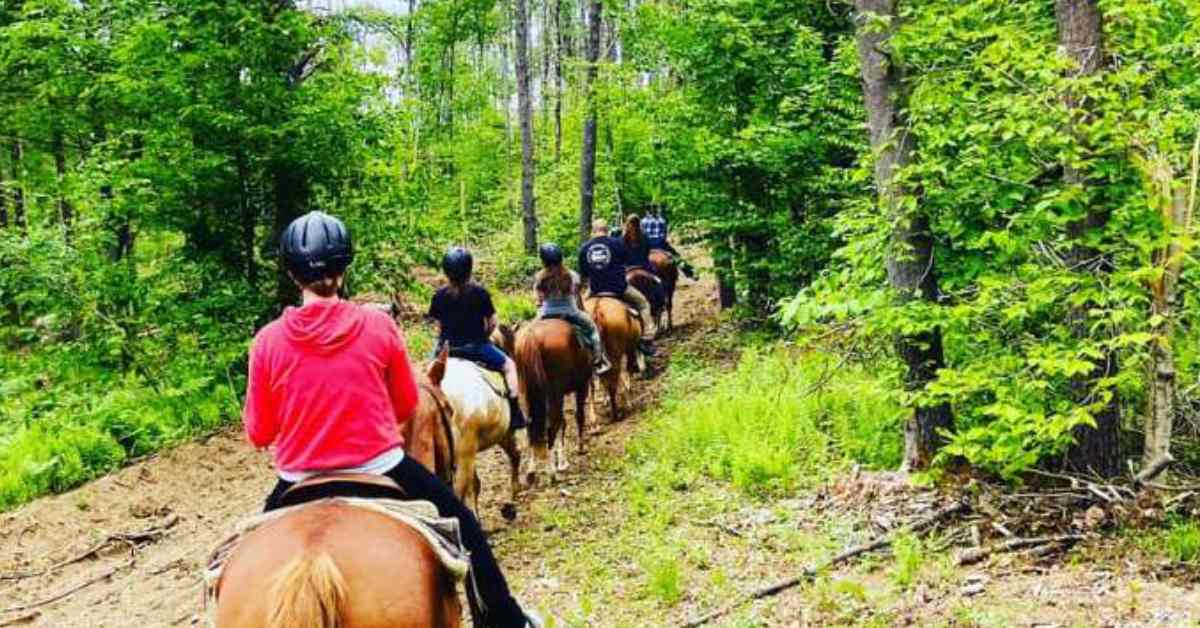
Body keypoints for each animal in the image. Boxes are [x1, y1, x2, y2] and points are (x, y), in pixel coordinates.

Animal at [513, 319, 592, 487]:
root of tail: (532, 336)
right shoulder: (582, 386)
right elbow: (579, 416)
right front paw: (580, 447)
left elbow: (563, 422)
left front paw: (562, 461)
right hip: (556, 391)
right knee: (551, 425)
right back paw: (551, 473)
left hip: (527, 392)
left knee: (531, 426)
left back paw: (531, 471)